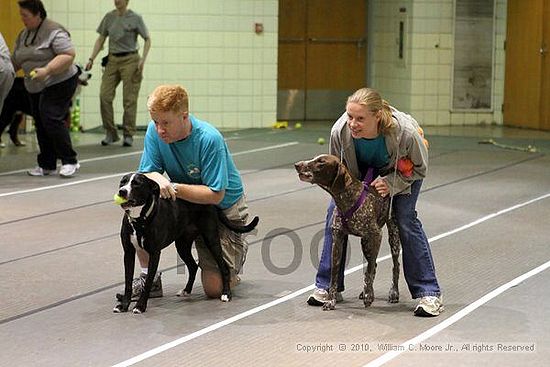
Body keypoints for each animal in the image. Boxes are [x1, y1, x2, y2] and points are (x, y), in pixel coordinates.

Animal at [113, 174, 260, 314]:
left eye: (137, 183)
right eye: (122, 182)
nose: (122, 191)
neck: (139, 219)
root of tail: (212, 203)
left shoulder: (154, 254)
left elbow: (148, 281)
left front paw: (140, 306)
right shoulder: (128, 253)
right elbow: (127, 281)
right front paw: (123, 305)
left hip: (211, 239)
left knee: (224, 267)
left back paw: (226, 294)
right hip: (182, 245)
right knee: (193, 266)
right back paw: (186, 290)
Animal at [298, 154, 402, 312]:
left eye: (321, 162)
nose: (297, 165)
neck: (347, 199)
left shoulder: (377, 235)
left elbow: (369, 271)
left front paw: (369, 296)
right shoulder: (337, 239)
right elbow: (334, 274)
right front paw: (331, 300)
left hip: (392, 236)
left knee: (394, 266)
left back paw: (392, 293)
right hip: (366, 243)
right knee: (374, 266)